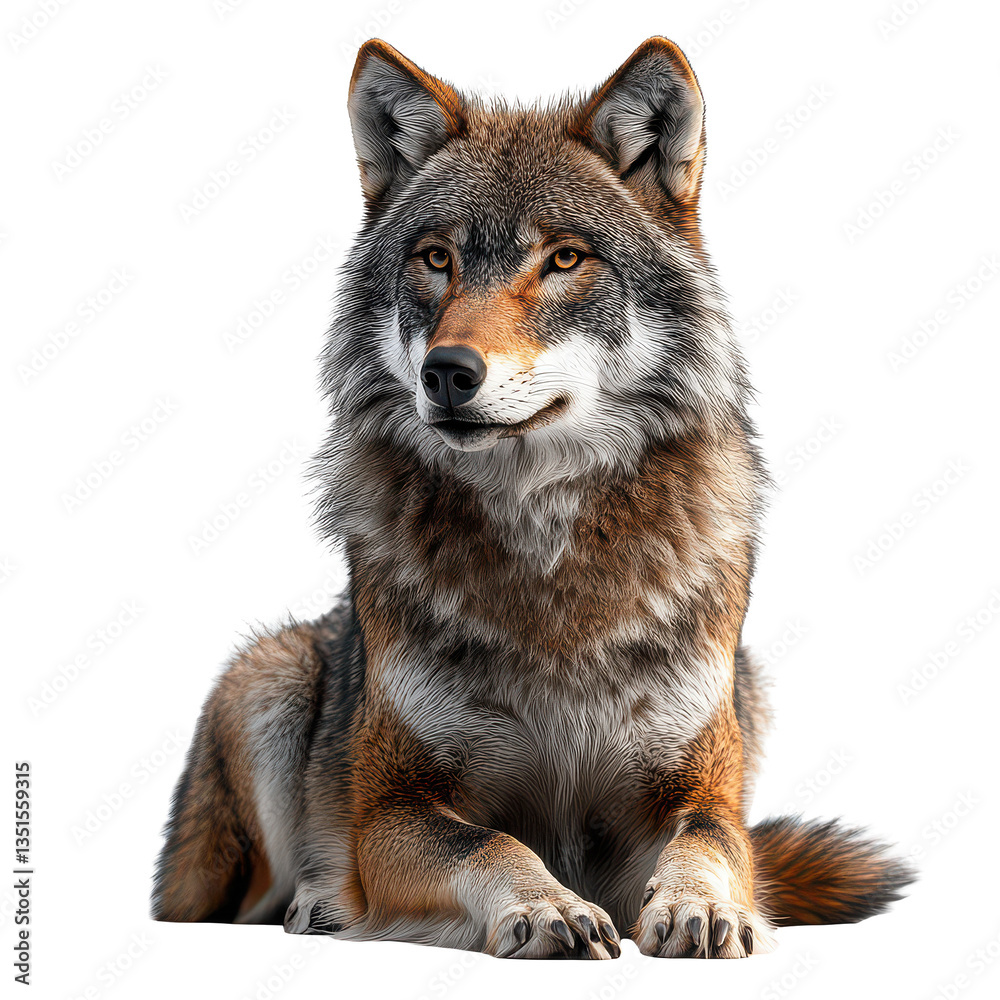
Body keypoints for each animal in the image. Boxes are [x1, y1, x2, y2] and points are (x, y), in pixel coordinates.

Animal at [152, 37, 913, 959]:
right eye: (436, 258)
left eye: (564, 259)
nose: (447, 372)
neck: (548, 564)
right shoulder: (393, 808)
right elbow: (491, 842)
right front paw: (547, 907)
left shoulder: (693, 792)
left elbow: (713, 842)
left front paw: (707, 909)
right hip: (268, 678)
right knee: (241, 906)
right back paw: (320, 906)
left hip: (751, 684)